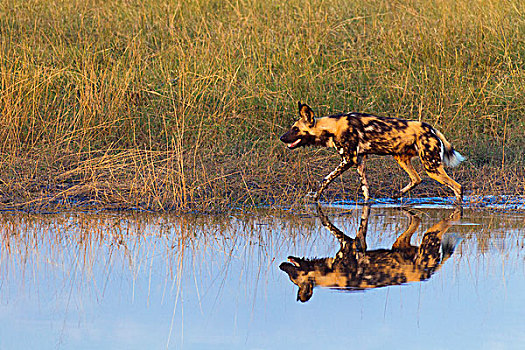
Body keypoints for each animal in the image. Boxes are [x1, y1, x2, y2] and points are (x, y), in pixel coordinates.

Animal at [278, 102, 462, 202]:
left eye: (295, 129)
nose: (281, 137)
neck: (332, 127)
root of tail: (431, 129)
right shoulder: (359, 161)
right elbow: (365, 190)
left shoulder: (348, 160)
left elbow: (324, 180)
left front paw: (315, 198)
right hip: (401, 158)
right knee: (416, 179)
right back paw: (395, 196)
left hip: (432, 168)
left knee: (457, 187)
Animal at [280, 205, 460, 300]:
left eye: (293, 276)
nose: (281, 266)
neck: (329, 273)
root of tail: (429, 273)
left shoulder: (349, 242)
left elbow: (327, 224)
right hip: (401, 245)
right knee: (416, 220)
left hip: (428, 239)